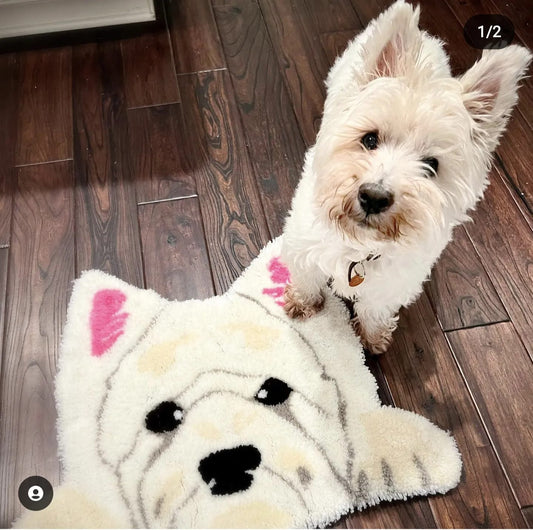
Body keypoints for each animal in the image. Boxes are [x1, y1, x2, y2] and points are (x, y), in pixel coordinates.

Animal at [280, 3, 528, 354]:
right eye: (370, 139)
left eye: (432, 165)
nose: (373, 197)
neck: (361, 244)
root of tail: (425, 34)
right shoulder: (304, 244)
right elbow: (306, 277)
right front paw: (302, 303)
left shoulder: (392, 282)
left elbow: (375, 309)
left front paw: (373, 336)